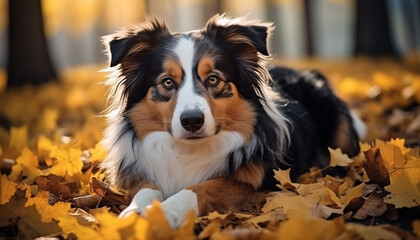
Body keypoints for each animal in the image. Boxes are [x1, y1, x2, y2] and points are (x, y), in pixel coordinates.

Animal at [101, 14, 364, 228]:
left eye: (213, 79)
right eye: (167, 82)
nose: (192, 121)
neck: (188, 151)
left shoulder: (264, 183)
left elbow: (204, 187)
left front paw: (167, 211)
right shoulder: (138, 172)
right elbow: (146, 188)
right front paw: (135, 212)